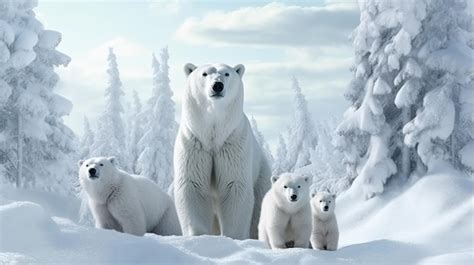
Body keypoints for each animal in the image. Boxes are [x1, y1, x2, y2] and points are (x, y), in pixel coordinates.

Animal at [173, 63, 270, 238]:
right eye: (204, 74)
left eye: (226, 74)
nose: (217, 85)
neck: (214, 134)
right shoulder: (195, 143)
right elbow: (193, 186)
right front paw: (198, 235)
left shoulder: (232, 145)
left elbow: (235, 186)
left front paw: (233, 236)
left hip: (261, 177)